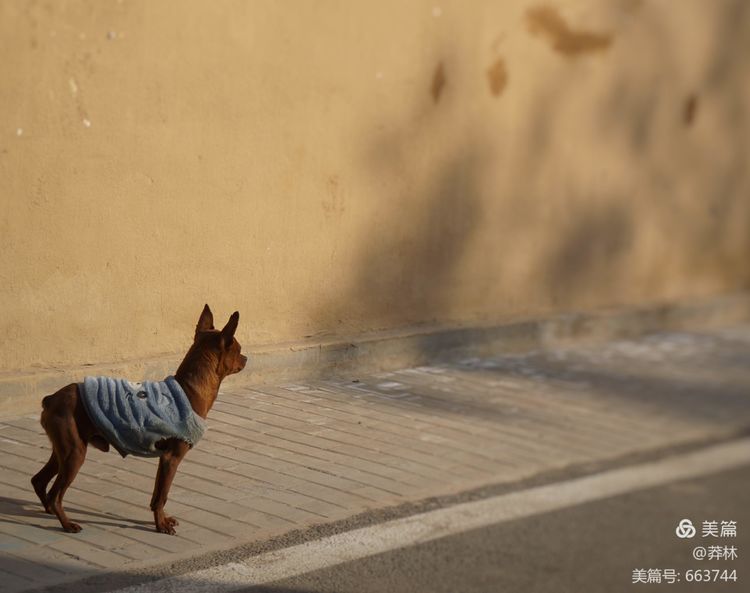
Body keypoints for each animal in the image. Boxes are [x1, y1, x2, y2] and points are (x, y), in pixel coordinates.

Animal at [30, 306, 247, 532]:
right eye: (239, 349)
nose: (246, 358)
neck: (189, 389)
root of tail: (52, 399)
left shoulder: (164, 459)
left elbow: (157, 496)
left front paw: (162, 520)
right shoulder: (171, 458)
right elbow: (162, 496)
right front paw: (161, 526)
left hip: (63, 452)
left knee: (38, 480)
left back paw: (49, 511)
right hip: (74, 454)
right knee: (55, 495)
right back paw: (66, 523)